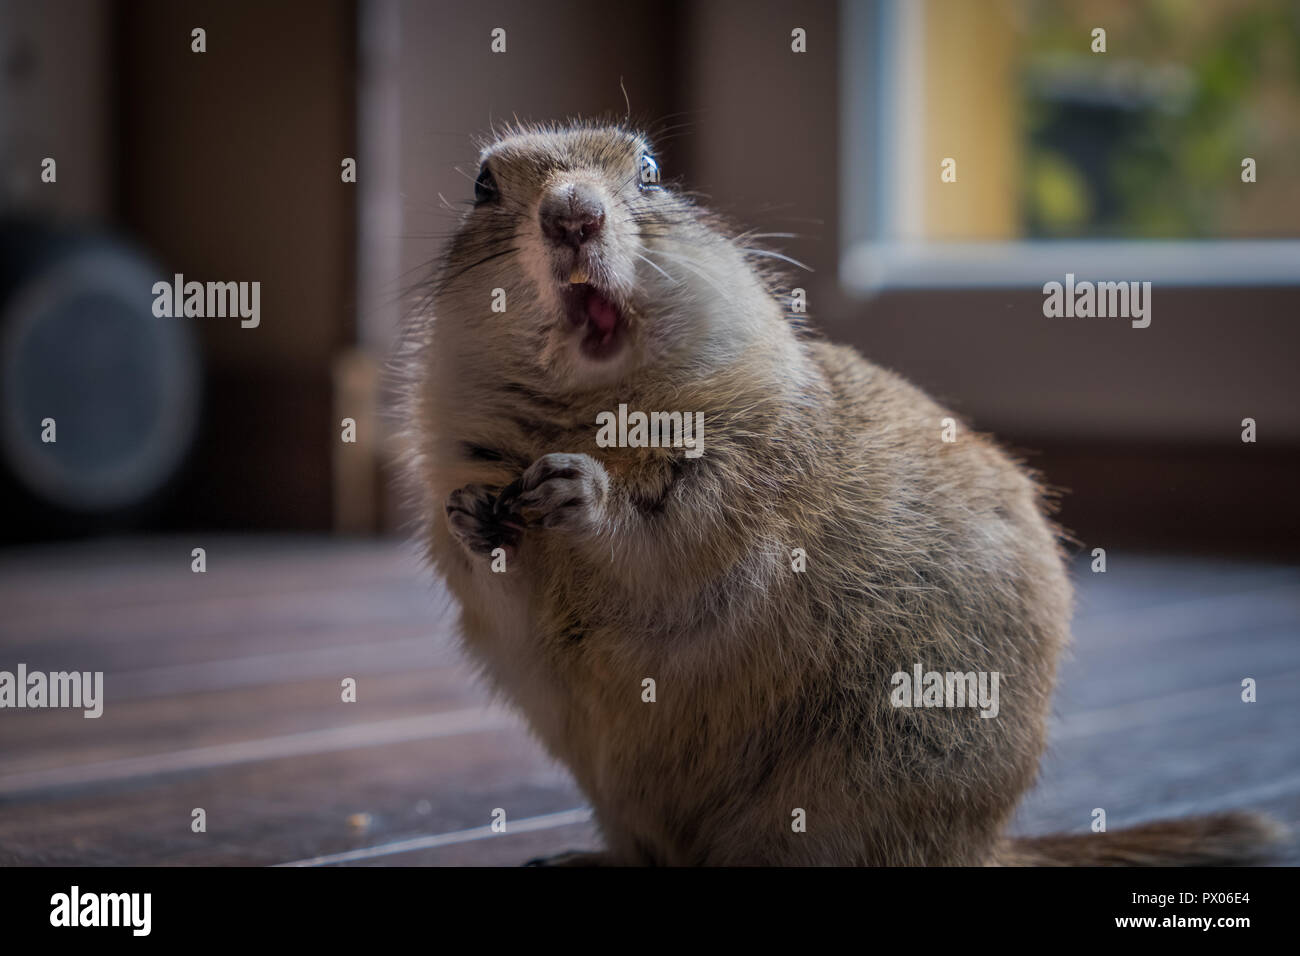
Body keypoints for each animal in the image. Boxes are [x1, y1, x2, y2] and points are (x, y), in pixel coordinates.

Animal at [400, 121, 1284, 868]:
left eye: (650, 171)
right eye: (483, 184)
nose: (573, 213)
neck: (590, 413)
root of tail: (986, 849)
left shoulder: (744, 473)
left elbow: (672, 549)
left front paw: (587, 496)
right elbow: (499, 595)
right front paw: (474, 516)